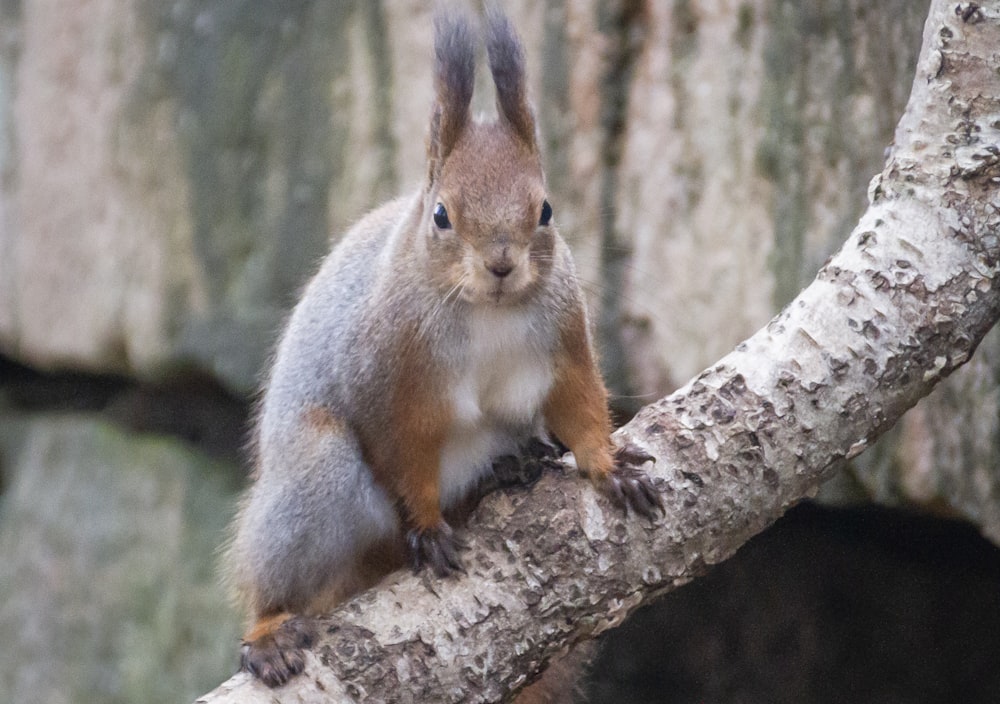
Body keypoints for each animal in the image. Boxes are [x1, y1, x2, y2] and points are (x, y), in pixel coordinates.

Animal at [227, 4, 664, 688]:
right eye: (441, 215)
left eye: (546, 209)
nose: (501, 264)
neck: (488, 311)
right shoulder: (387, 377)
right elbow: (401, 453)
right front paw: (429, 527)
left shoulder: (565, 340)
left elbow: (579, 406)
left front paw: (608, 466)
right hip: (312, 478)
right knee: (279, 572)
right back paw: (269, 631)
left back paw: (509, 470)